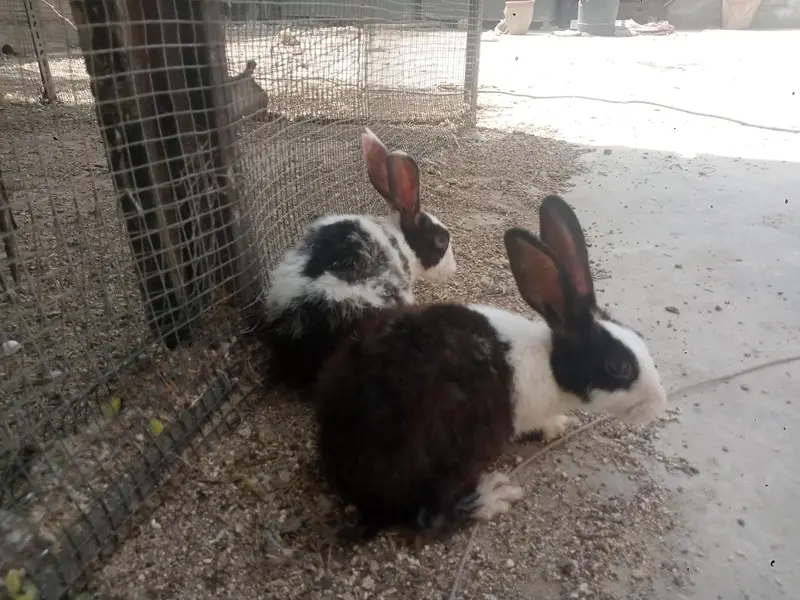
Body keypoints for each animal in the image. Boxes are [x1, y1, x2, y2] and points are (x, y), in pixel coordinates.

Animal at [315, 194, 668, 540]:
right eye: (618, 366)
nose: (659, 403)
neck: (550, 367)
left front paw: (554, 425)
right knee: (425, 516)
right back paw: (491, 497)